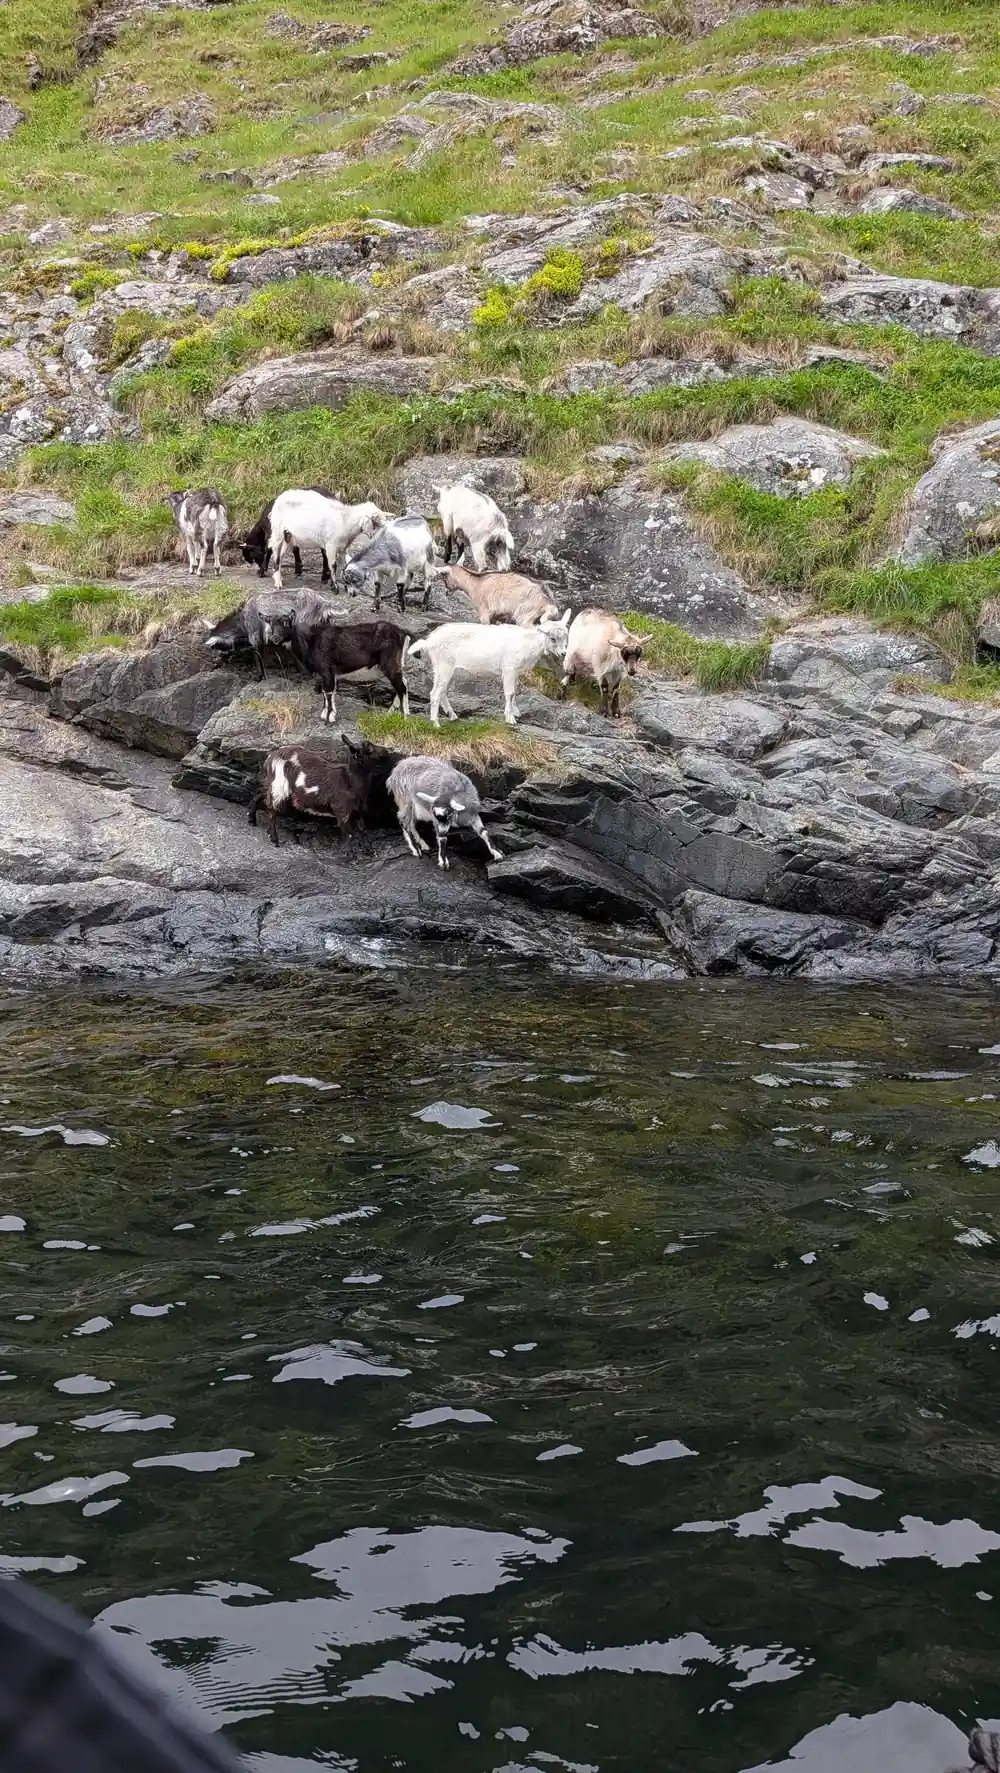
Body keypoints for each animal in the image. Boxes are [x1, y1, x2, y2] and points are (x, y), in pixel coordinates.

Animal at [248, 736, 390, 847]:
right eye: (368, 748)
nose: (386, 751)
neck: (351, 781)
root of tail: (271, 756)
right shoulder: (341, 808)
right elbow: (348, 834)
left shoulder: (359, 808)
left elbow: (362, 828)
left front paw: (368, 850)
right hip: (280, 784)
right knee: (272, 808)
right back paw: (274, 839)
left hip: (275, 783)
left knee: (260, 795)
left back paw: (251, 819)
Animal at [265, 611, 411, 723]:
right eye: (271, 624)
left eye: (286, 622)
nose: (275, 638)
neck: (310, 640)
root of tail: (402, 633)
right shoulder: (324, 674)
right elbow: (325, 692)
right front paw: (325, 713)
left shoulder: (326, 669)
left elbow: (329, 692)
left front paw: (329, 717)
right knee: (403, 682)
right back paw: (391, 713)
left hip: (390, 663)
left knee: (401, 686)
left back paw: (404, 717)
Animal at [407, 611, 570, 726]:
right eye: (553, 638)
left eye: (566, 636)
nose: (563, 653)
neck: (527, 643)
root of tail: (429, 641)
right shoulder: (509, 669)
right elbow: (510, 693)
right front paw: (510, 718)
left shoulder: (515, 672)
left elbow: (515, 692)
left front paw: (515, 712)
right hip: (443, 666)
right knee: (434, 693)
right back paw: (435, 723)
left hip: (449, 671)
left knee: (442, 692)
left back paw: (452, 716)